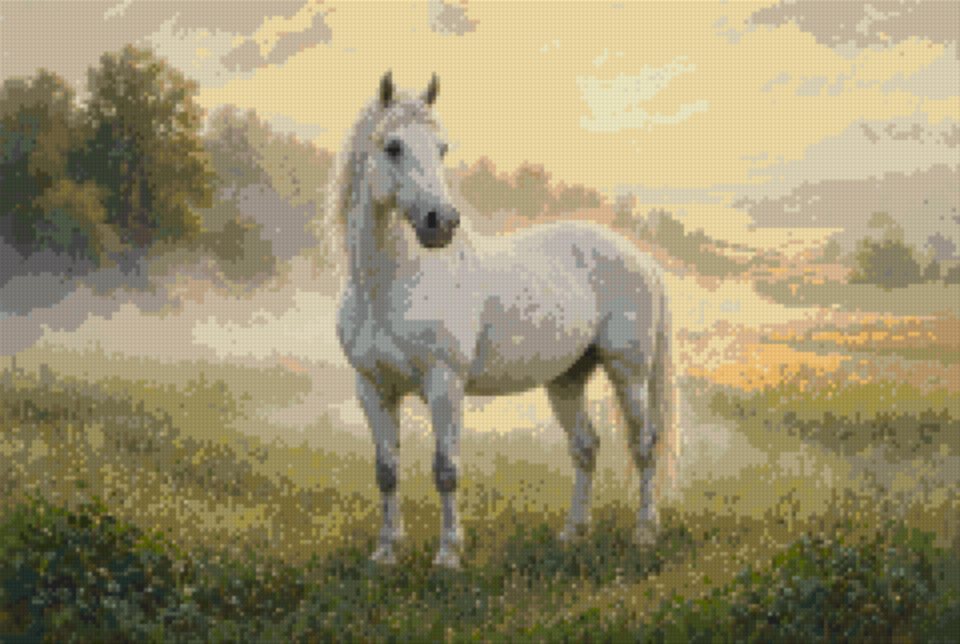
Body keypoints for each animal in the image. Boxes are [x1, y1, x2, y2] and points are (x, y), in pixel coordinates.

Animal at [330, 71, 676, 569]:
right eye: (393, 146)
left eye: (442, 148)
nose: (441, 222)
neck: (389, 286)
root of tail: (643, 259)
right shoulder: (372, 389)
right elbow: (386, 472)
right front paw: (386, 551)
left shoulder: (444, 384)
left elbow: (445, 470)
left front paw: (448, 555)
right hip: (566, 380)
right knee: (585, 448)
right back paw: (573, 533)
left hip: (628, 373)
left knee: (644, 444)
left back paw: (645, 532)